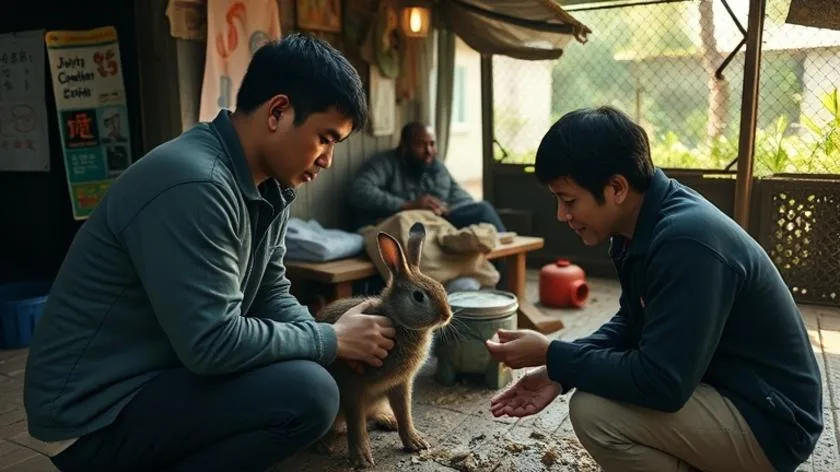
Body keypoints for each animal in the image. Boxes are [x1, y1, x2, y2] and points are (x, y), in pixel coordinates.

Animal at [312, 221, 453, 468]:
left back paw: (389, 420)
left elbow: (405, 412)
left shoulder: (400, 384)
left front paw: (415, 442)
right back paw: (323, 444)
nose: (447, 315)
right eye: (419, 296)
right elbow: (356, 423)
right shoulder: (353, 385)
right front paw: (361, 458)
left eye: (441, 288)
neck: (397, 320)